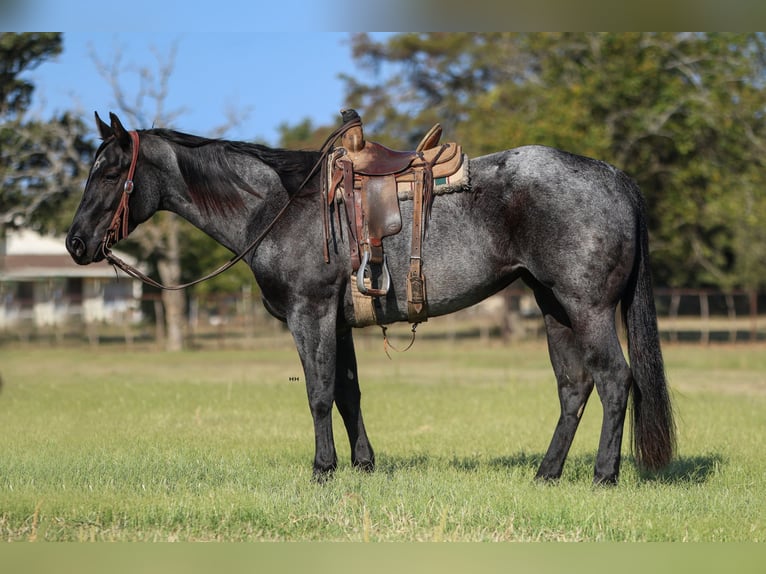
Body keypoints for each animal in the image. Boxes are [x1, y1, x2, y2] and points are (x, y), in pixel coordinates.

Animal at [67, 111, 680, 486]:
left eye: (112, 171)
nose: (75, 243)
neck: (280, 206)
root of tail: (613, 176)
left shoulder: (309, 314)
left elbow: (317, 394)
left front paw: (323, 469)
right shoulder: (337, 323)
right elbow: (347, 394)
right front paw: (361, 465)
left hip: (588, 308)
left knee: (614, 380)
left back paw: (603, 475)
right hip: (554, 307)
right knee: (574, 387)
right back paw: (547, 473)